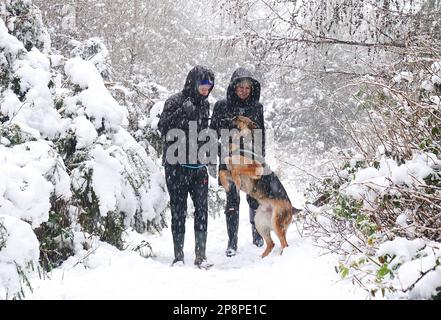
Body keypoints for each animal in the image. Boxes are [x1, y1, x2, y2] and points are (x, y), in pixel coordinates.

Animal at [218, 115, 298, 258]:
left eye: (237, 118)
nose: (221, 120)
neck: (240, 144)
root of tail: (292, 207)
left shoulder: (257, 168)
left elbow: (237, 170)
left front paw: (237, 182)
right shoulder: (227, 170)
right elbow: (222, 172)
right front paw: (227, 186)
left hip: (276, 222)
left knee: (284, 243)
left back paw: (281, 256)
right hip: (259, 221)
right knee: (271, 243)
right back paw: (263, 257)